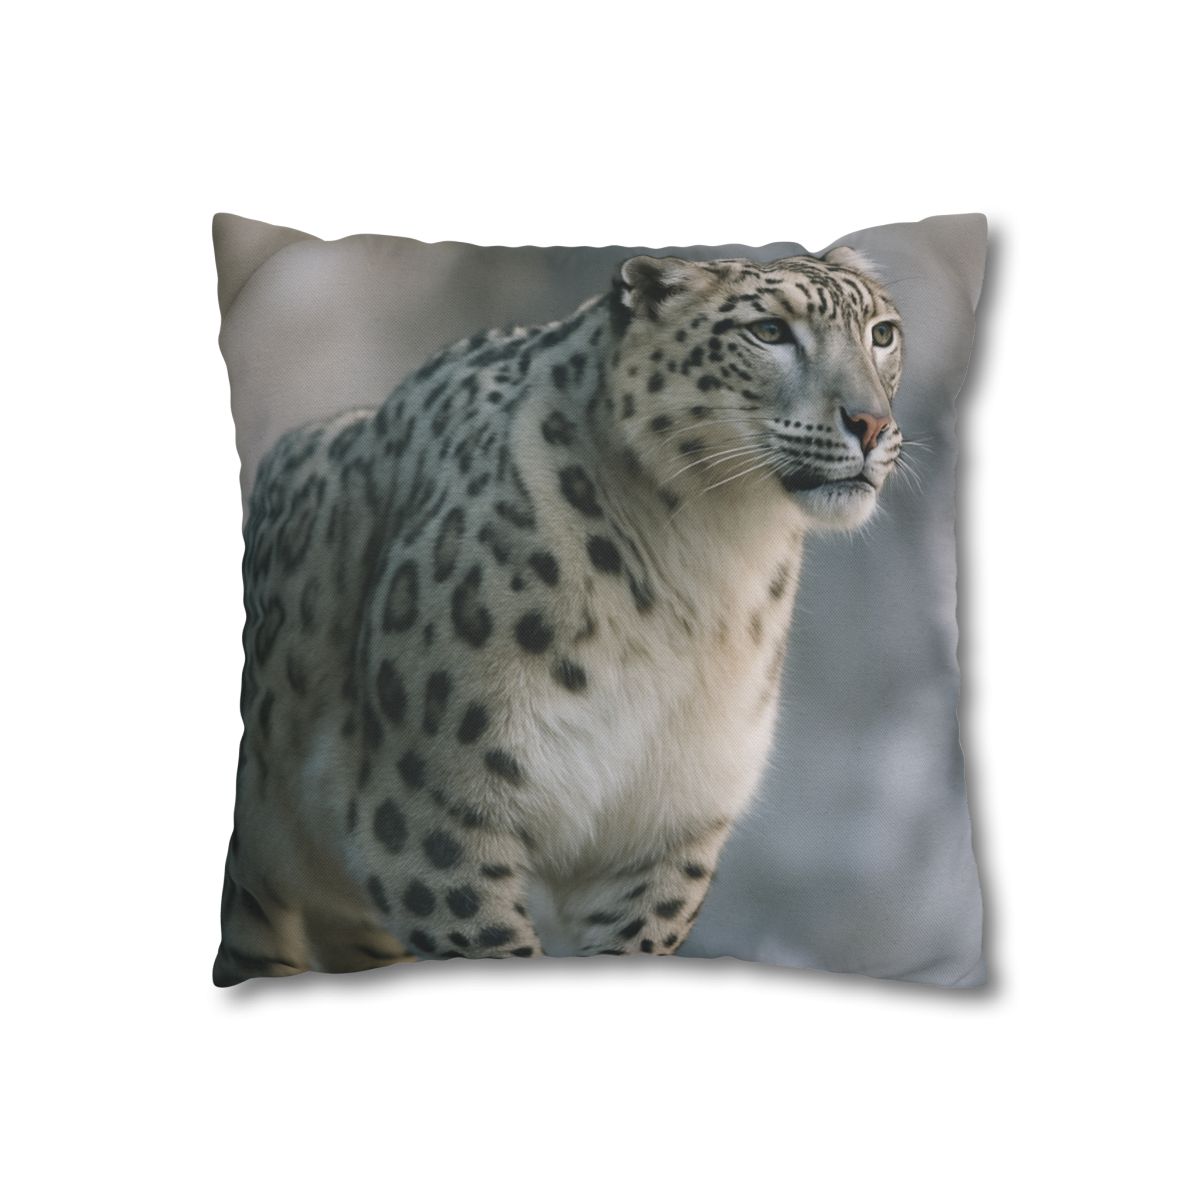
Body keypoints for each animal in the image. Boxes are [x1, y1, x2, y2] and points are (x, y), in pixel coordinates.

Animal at [214, 246, 904, 984]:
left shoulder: (665, 825)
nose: (871, 423)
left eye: (882, 334)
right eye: (769, 331)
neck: (712, 564)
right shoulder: (431, 814)